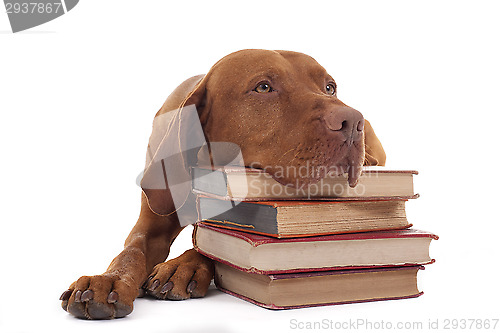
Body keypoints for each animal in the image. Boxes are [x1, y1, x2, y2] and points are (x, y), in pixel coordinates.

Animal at [59, 50, 386, 320]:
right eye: (263, 87)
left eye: (330, 87)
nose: (352, 121)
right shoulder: (150, 224)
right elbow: (131, 251)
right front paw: (109, 280)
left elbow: (209, 243)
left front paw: (184, 266)